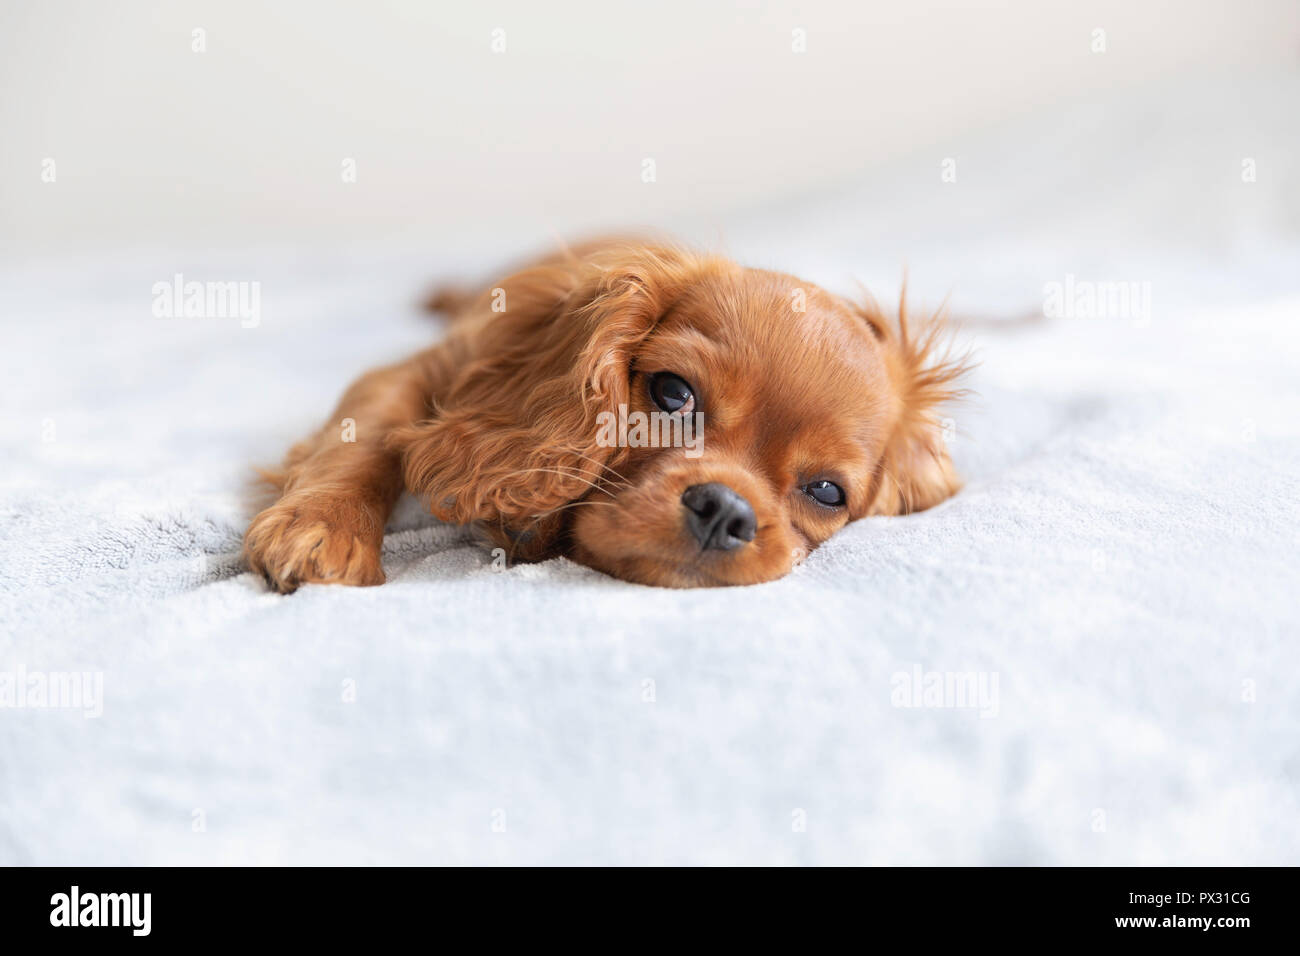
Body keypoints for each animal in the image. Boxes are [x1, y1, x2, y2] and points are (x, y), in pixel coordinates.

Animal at [248, 239, 972, 590]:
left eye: (826, 491)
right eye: (673, 393)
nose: (725, 511)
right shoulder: (416, 371)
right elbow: (363, 441)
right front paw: (323, 528)